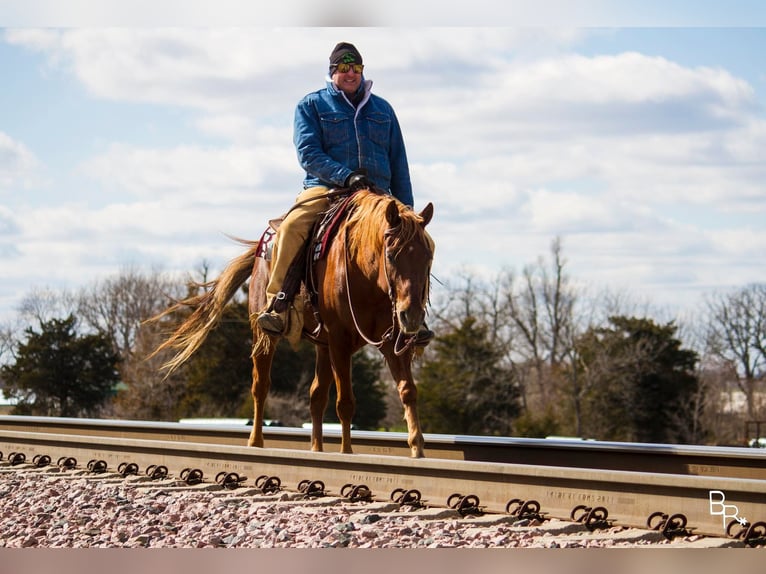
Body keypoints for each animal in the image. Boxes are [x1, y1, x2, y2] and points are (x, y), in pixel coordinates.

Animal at [153, 189, 436, 460]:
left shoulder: (392, 340)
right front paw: (346, 452)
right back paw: (256, 442)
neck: (365, 276)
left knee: (316, 396)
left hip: (323, 346)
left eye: (428, 256)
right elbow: (345, 402)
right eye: (391, 254)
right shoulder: (340, 340)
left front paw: (417, 448)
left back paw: (316, 448)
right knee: (261, 386)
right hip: (264, 336)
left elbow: (407, 390)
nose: (411, 315)